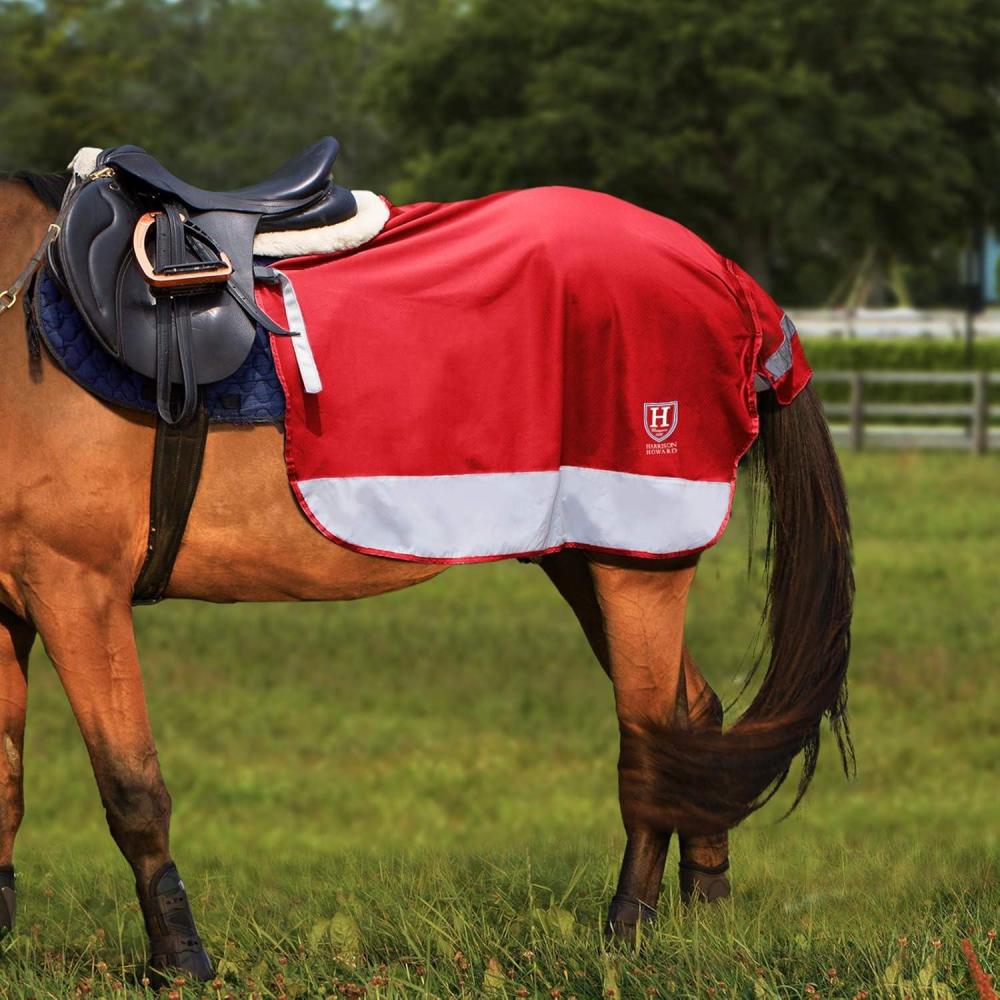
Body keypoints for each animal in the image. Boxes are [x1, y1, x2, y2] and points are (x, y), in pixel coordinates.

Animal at [0, 170, 853, 981]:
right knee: (696, 718)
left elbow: (131, 788)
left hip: (637, 558)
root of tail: (725, 277)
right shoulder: (12, 611)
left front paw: (180, 960)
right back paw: (705, 903)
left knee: (651, 736)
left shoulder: (78, 589)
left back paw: (626, 931)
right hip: (589, 554)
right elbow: (6, 788)